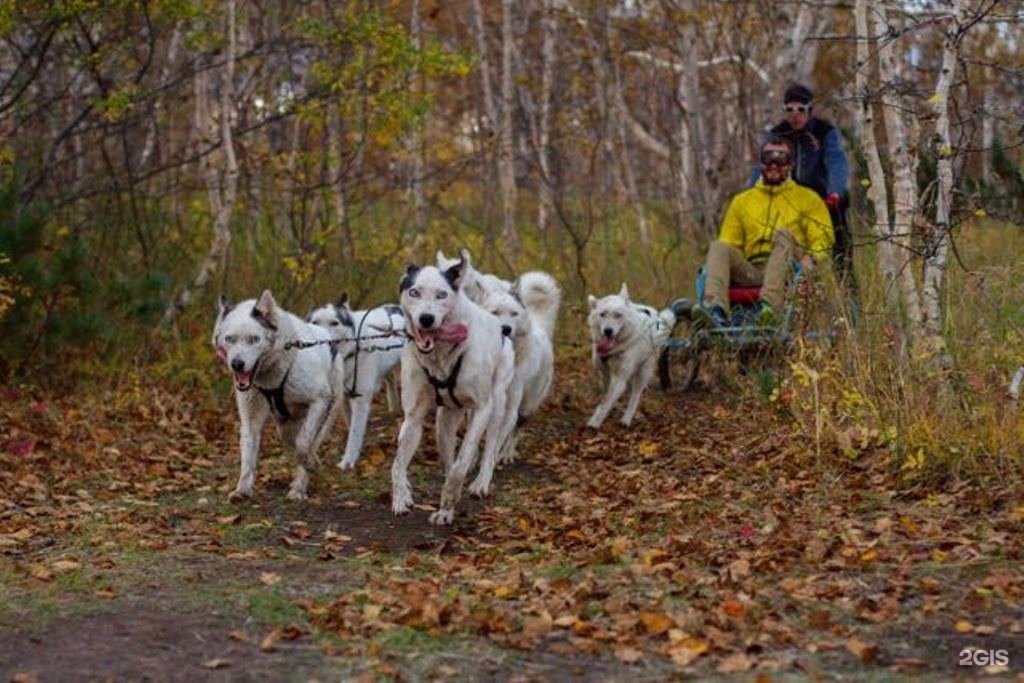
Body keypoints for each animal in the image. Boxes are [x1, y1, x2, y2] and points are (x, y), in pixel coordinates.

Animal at [212, 290, 348, 501]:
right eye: (230, 339)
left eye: (254, 339)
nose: (237, 364)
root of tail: (327, 338)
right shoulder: (250, 418)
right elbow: (248, 457)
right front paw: (242, 489)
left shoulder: (319, 399)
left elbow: (303, 444)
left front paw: (309, 463)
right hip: (285, 421)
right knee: (290, 435)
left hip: (327, 413)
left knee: (311, 440)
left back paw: (299, 487)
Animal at [307, 296, 407, 473]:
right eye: (315, 322)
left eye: (334, 323)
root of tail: (395, 307)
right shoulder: (345, 397)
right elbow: (350, 424)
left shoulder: (361, 399)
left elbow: (354, 432)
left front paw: (348, 460)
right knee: (390, 380)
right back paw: (393, 406)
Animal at [479, 270, 561, 473]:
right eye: (495, 312)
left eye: (514, 313)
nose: (505, 328)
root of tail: (541, 327)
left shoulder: (511, 406)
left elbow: (500, 436)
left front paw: (493, 459)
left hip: (527, 406)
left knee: (516, 430)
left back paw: (506, 455)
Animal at [589, 286, 675, 430]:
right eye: (602, 314)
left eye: (618, 315)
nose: (608, 331)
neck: (615, 347)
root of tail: (656, 315)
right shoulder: (605, 373)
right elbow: (606, 397)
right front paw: (605, 410)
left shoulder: (619, 377)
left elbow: (607, 401)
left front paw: (594, 422)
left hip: (643, 371)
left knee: (635, 396)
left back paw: (626, 419)